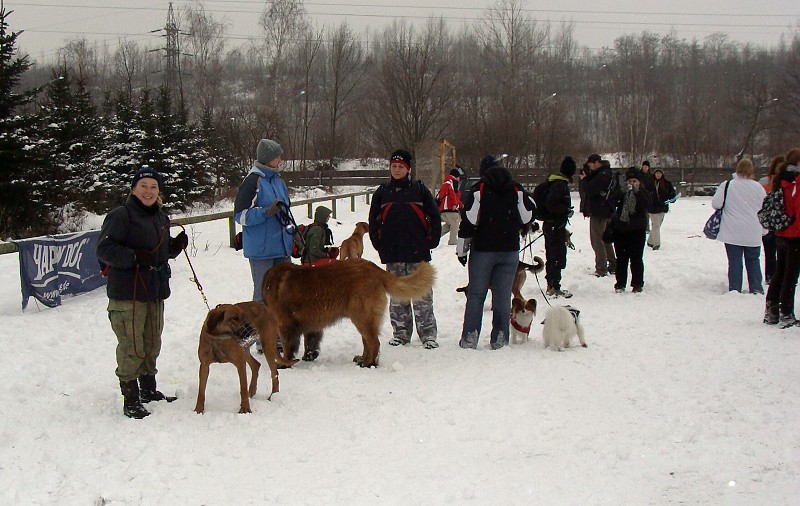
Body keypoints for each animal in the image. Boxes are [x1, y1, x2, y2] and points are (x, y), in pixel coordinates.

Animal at [260, 258, 438, 366]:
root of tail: (372, 268)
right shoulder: (310, 325)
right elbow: (310, 341)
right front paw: (307, 356)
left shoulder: (284, 324)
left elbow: (288, 346)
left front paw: (283, 363)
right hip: (362, 318)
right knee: (368, 342)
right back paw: (363, 359)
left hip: (361, 317)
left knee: (374, 342)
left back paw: (368, 364)